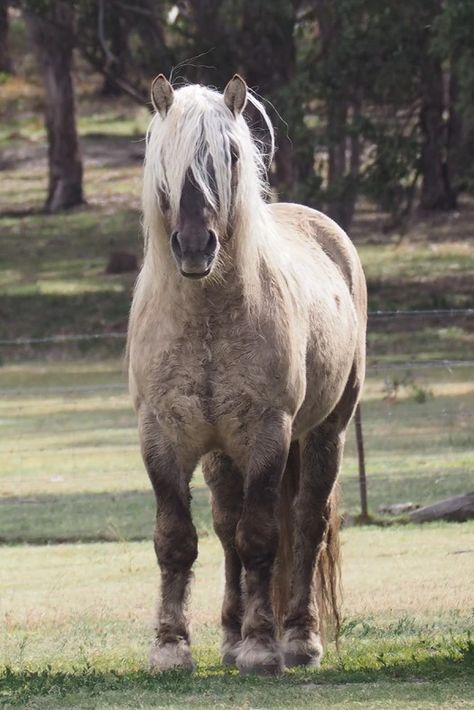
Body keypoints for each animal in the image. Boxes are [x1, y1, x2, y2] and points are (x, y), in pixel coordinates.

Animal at [127, 73, 366, 680]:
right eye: (165, 157)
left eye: (230, 155)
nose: (194, 246)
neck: (209, 317)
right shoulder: (162, 436)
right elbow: (177, 540)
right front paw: (171, 648)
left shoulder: (266, 435)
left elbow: (261, 538)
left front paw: (263, 647)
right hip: (220, 455)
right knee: (225, 527)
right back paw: (231, 639)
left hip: (324, 434)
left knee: (304, 525)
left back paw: (299, 639)